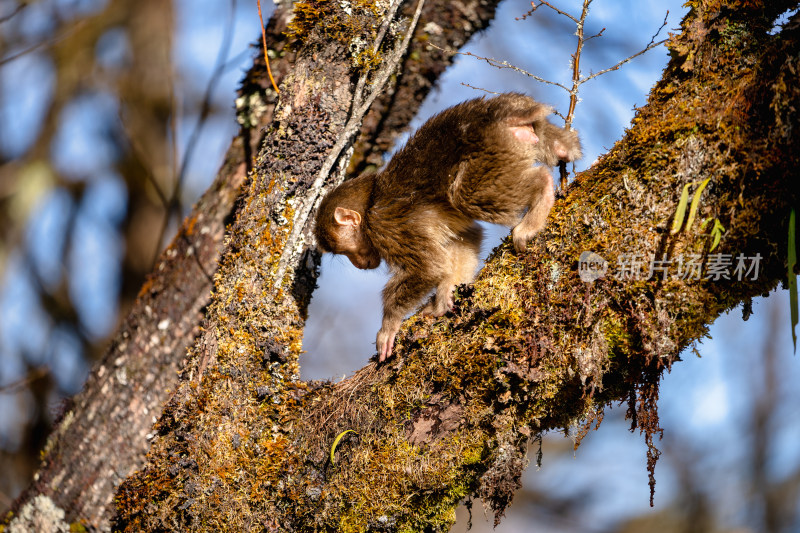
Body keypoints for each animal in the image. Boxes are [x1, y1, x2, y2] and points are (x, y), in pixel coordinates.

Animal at [314, 92, 580, 362]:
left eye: (346, 251)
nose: (359, 264)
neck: (370, 202)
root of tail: (497, 112)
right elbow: (467, 236)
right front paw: (445, 296)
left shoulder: (386, 227)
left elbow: (428, 268)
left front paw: (389, 323)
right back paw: (563, 149)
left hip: (492, 148)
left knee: (469, 196)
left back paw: (540, 195)